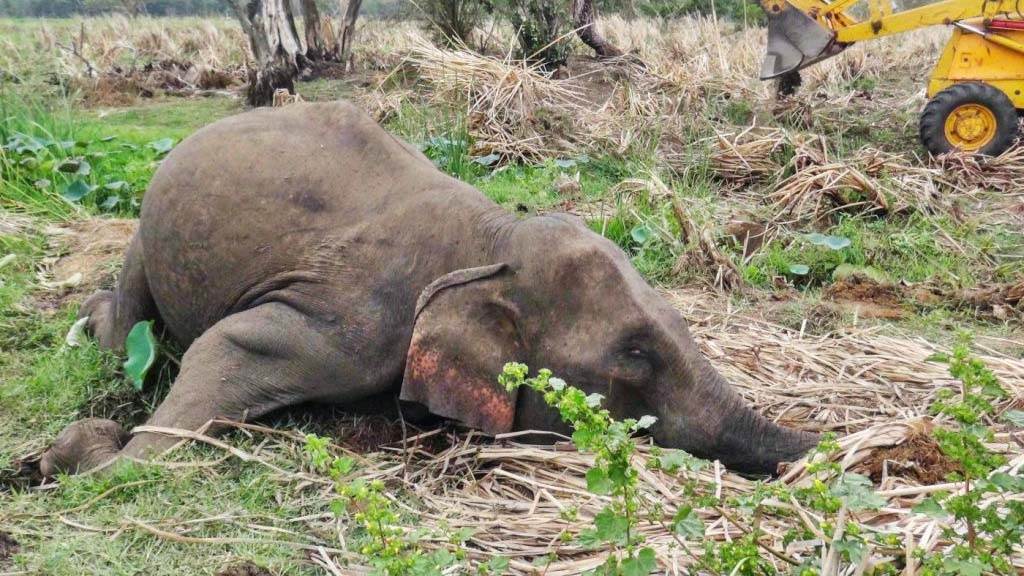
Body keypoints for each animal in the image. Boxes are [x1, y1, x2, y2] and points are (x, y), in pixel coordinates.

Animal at [40, 101, 817, 478]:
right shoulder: (360, 321)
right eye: (634, 360)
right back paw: (91, 324)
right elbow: (229, 346)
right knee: (132, 321)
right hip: (147, 231)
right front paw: (86, 458)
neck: (494, 239)